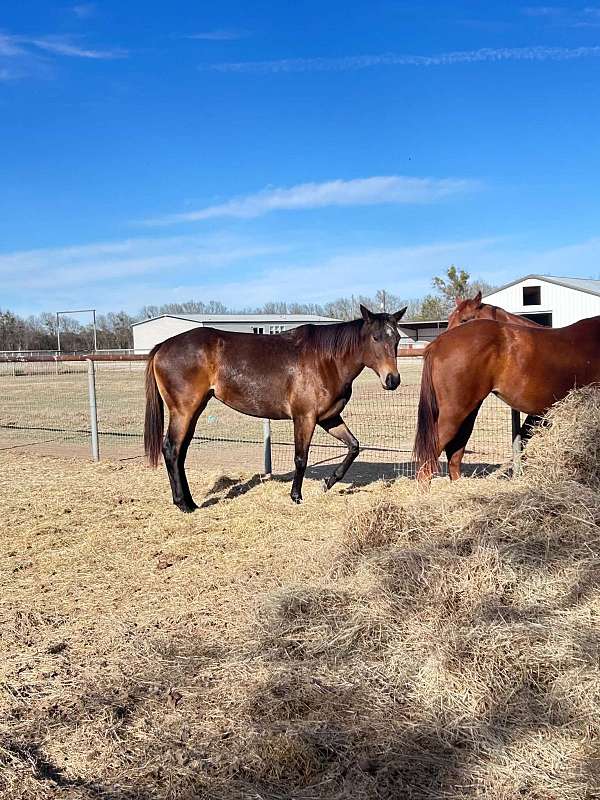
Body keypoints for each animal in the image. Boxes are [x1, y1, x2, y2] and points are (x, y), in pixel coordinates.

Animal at [144, 305, 407, 512]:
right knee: (171, 449)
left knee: (180, 452)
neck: (325, 360)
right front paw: (296, 496)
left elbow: (354, 447)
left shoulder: (329, 418)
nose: (392, 380)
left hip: (194, 410)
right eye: (375, 338)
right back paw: (183, 504)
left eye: (396, 339)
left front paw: (328, 482)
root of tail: (163, 346)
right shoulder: (305, 418)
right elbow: (301, 458)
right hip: (184, 411)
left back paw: (190, 501)